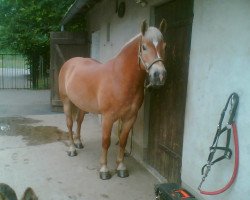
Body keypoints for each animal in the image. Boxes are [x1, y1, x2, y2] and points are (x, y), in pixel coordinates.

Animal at [58, 19, 167, 180]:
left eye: (164, 46)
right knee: (70, 124)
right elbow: (106, 142)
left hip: (82, 105)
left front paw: (121, 167)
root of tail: (70, 63)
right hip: (66, 102)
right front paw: (104, 169)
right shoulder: (108, 117)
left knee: (79, 121)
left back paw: (78, 142)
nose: (159, 75)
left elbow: (123, 141)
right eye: (144, 47)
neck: (120, 78)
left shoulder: (130, 117)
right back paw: (72, 149)